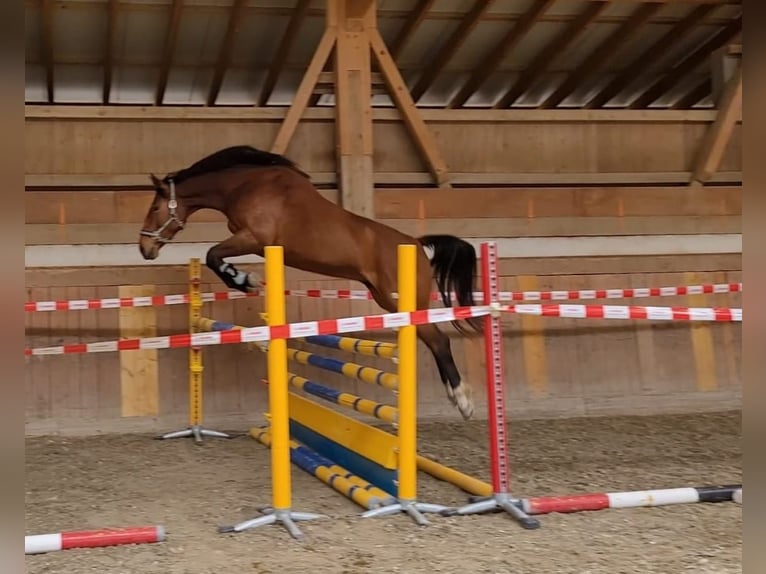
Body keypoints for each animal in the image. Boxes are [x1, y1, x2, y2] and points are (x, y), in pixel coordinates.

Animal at [138, 145, 482, 420]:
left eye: (154, 208)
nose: (145, 248)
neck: (245, 185)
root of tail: (418, 246)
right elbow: (214, 256)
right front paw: (244, 280)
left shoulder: (253, 237)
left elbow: (213, 255)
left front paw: (244, 280)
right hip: (386, 298)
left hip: (402, 298)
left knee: (439, 340)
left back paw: (463, 401)